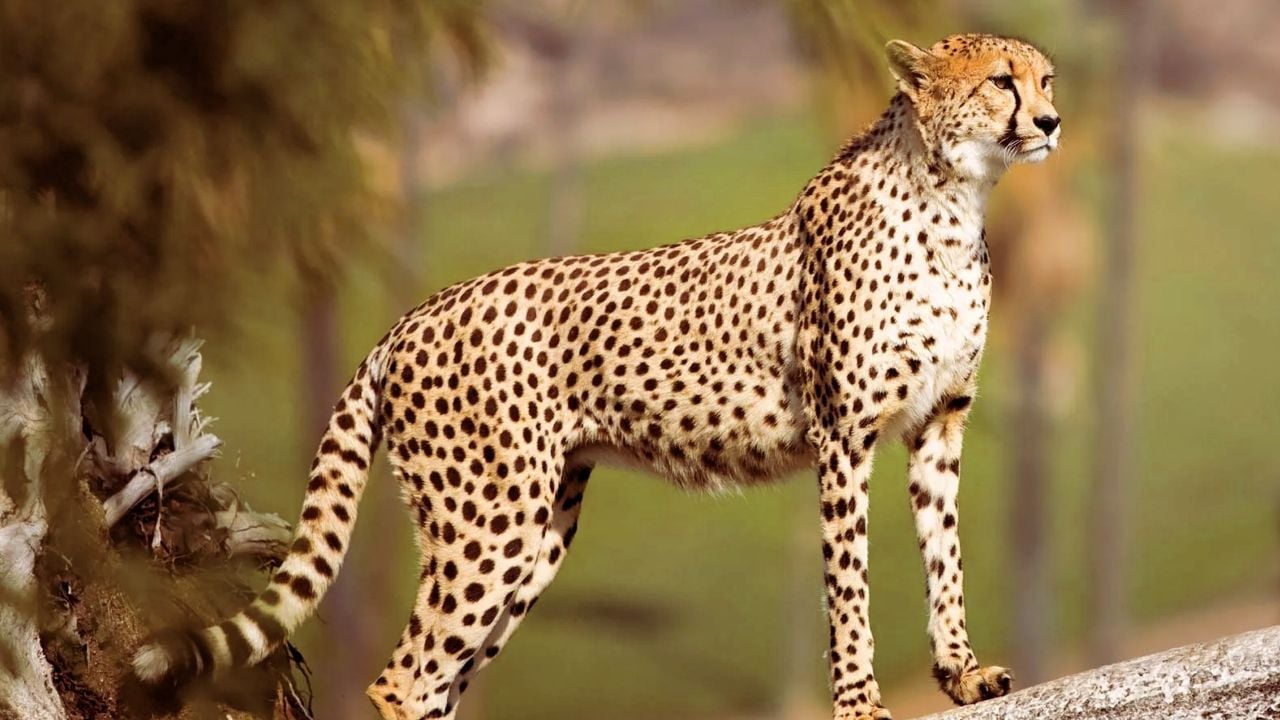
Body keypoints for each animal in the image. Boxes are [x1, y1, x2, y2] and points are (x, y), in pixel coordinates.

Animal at [132, 33, 1061, 720]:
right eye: (1001, 82)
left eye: (1045, 77)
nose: (1052, 120)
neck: (951, 199)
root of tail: (412, 315)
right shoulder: (844, 436)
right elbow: (849, 583)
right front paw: (863, 703)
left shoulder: (939, 423)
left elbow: (945, 555)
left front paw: (963, 673)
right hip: (488, 522)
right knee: (403, 679)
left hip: (536, 530)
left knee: (439, 677)